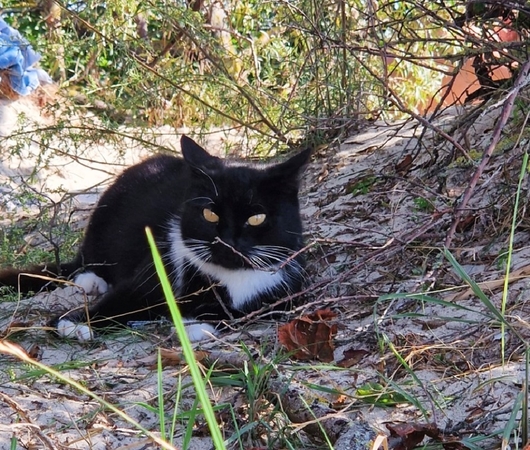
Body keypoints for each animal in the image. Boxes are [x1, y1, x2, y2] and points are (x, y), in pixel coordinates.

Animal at [0, 136, 310, 342]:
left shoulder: (282, 292)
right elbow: (122, 298)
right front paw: (74, 323)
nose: (226, 242)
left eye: (256, 218)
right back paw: (91, 280)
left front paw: (193, 325)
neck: (224, 277)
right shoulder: (158, 265)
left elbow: (235, 312)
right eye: (209, 214)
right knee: (86, 261)